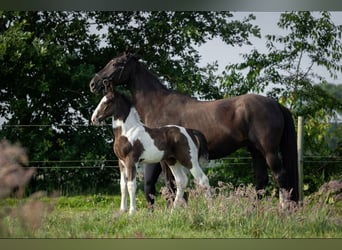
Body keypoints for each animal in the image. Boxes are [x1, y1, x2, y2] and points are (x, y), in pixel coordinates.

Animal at [89, 53, 300, 208]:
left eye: (116, 63)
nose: (94, 83)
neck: (158, 104)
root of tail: (275, 104)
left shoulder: (165, 159)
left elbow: (170, 184)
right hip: (255, 151)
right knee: (262, 180)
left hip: (268, 150)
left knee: (281, 177)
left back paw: (284, 210)